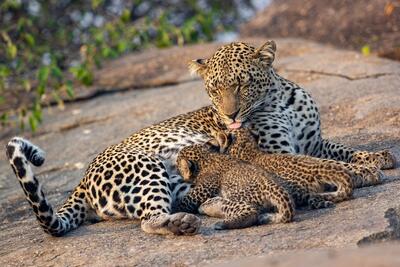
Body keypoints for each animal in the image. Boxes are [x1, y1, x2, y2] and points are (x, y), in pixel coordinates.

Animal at [4, 39, 396, 237]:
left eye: (241, 84)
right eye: (213, 90)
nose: (230, 117)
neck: (280, 98)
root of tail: (81, 182)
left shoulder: (313, 141)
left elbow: (342, 149)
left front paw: (377, 157)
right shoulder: (278, 150)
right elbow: (319, 163)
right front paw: (362, 173)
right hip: (147, 165)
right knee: (150, 220)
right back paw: (182, 224)